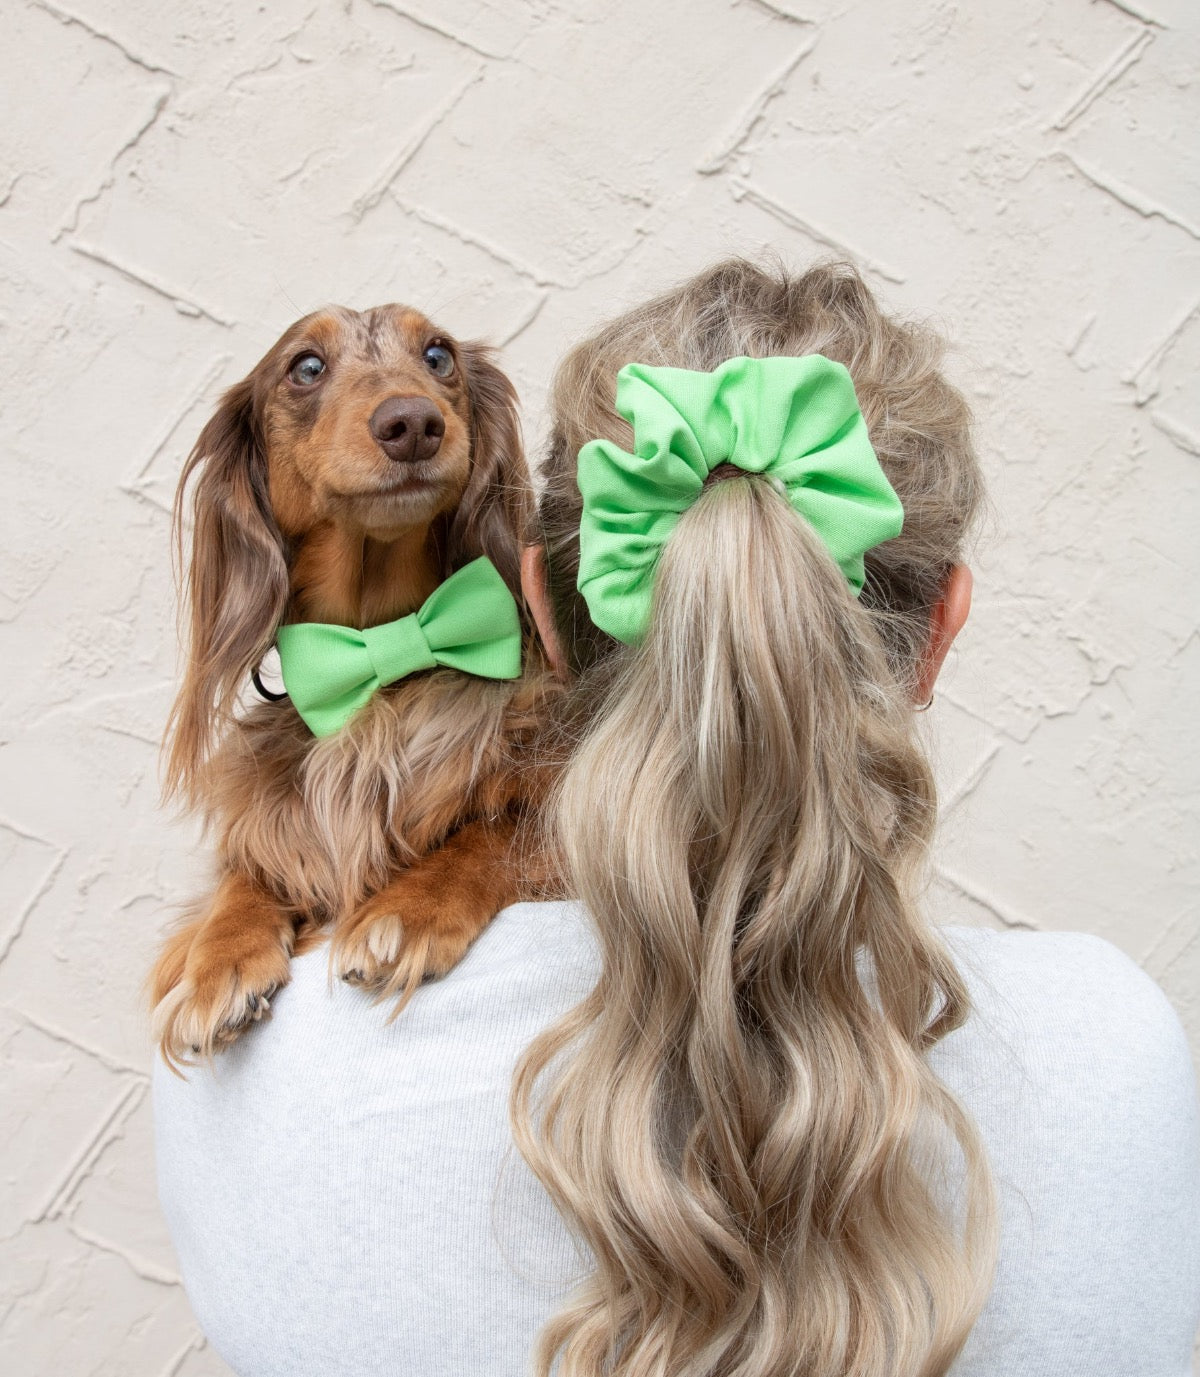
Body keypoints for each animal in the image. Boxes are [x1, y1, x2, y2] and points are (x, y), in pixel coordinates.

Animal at [148, 307, 559, 1068]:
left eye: (438, 355)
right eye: (306, 367)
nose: (413, 423)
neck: (378, 655)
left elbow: (498, 831)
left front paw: (409, 907)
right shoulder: (273, 825)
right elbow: (245, 875)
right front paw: (217, 965)